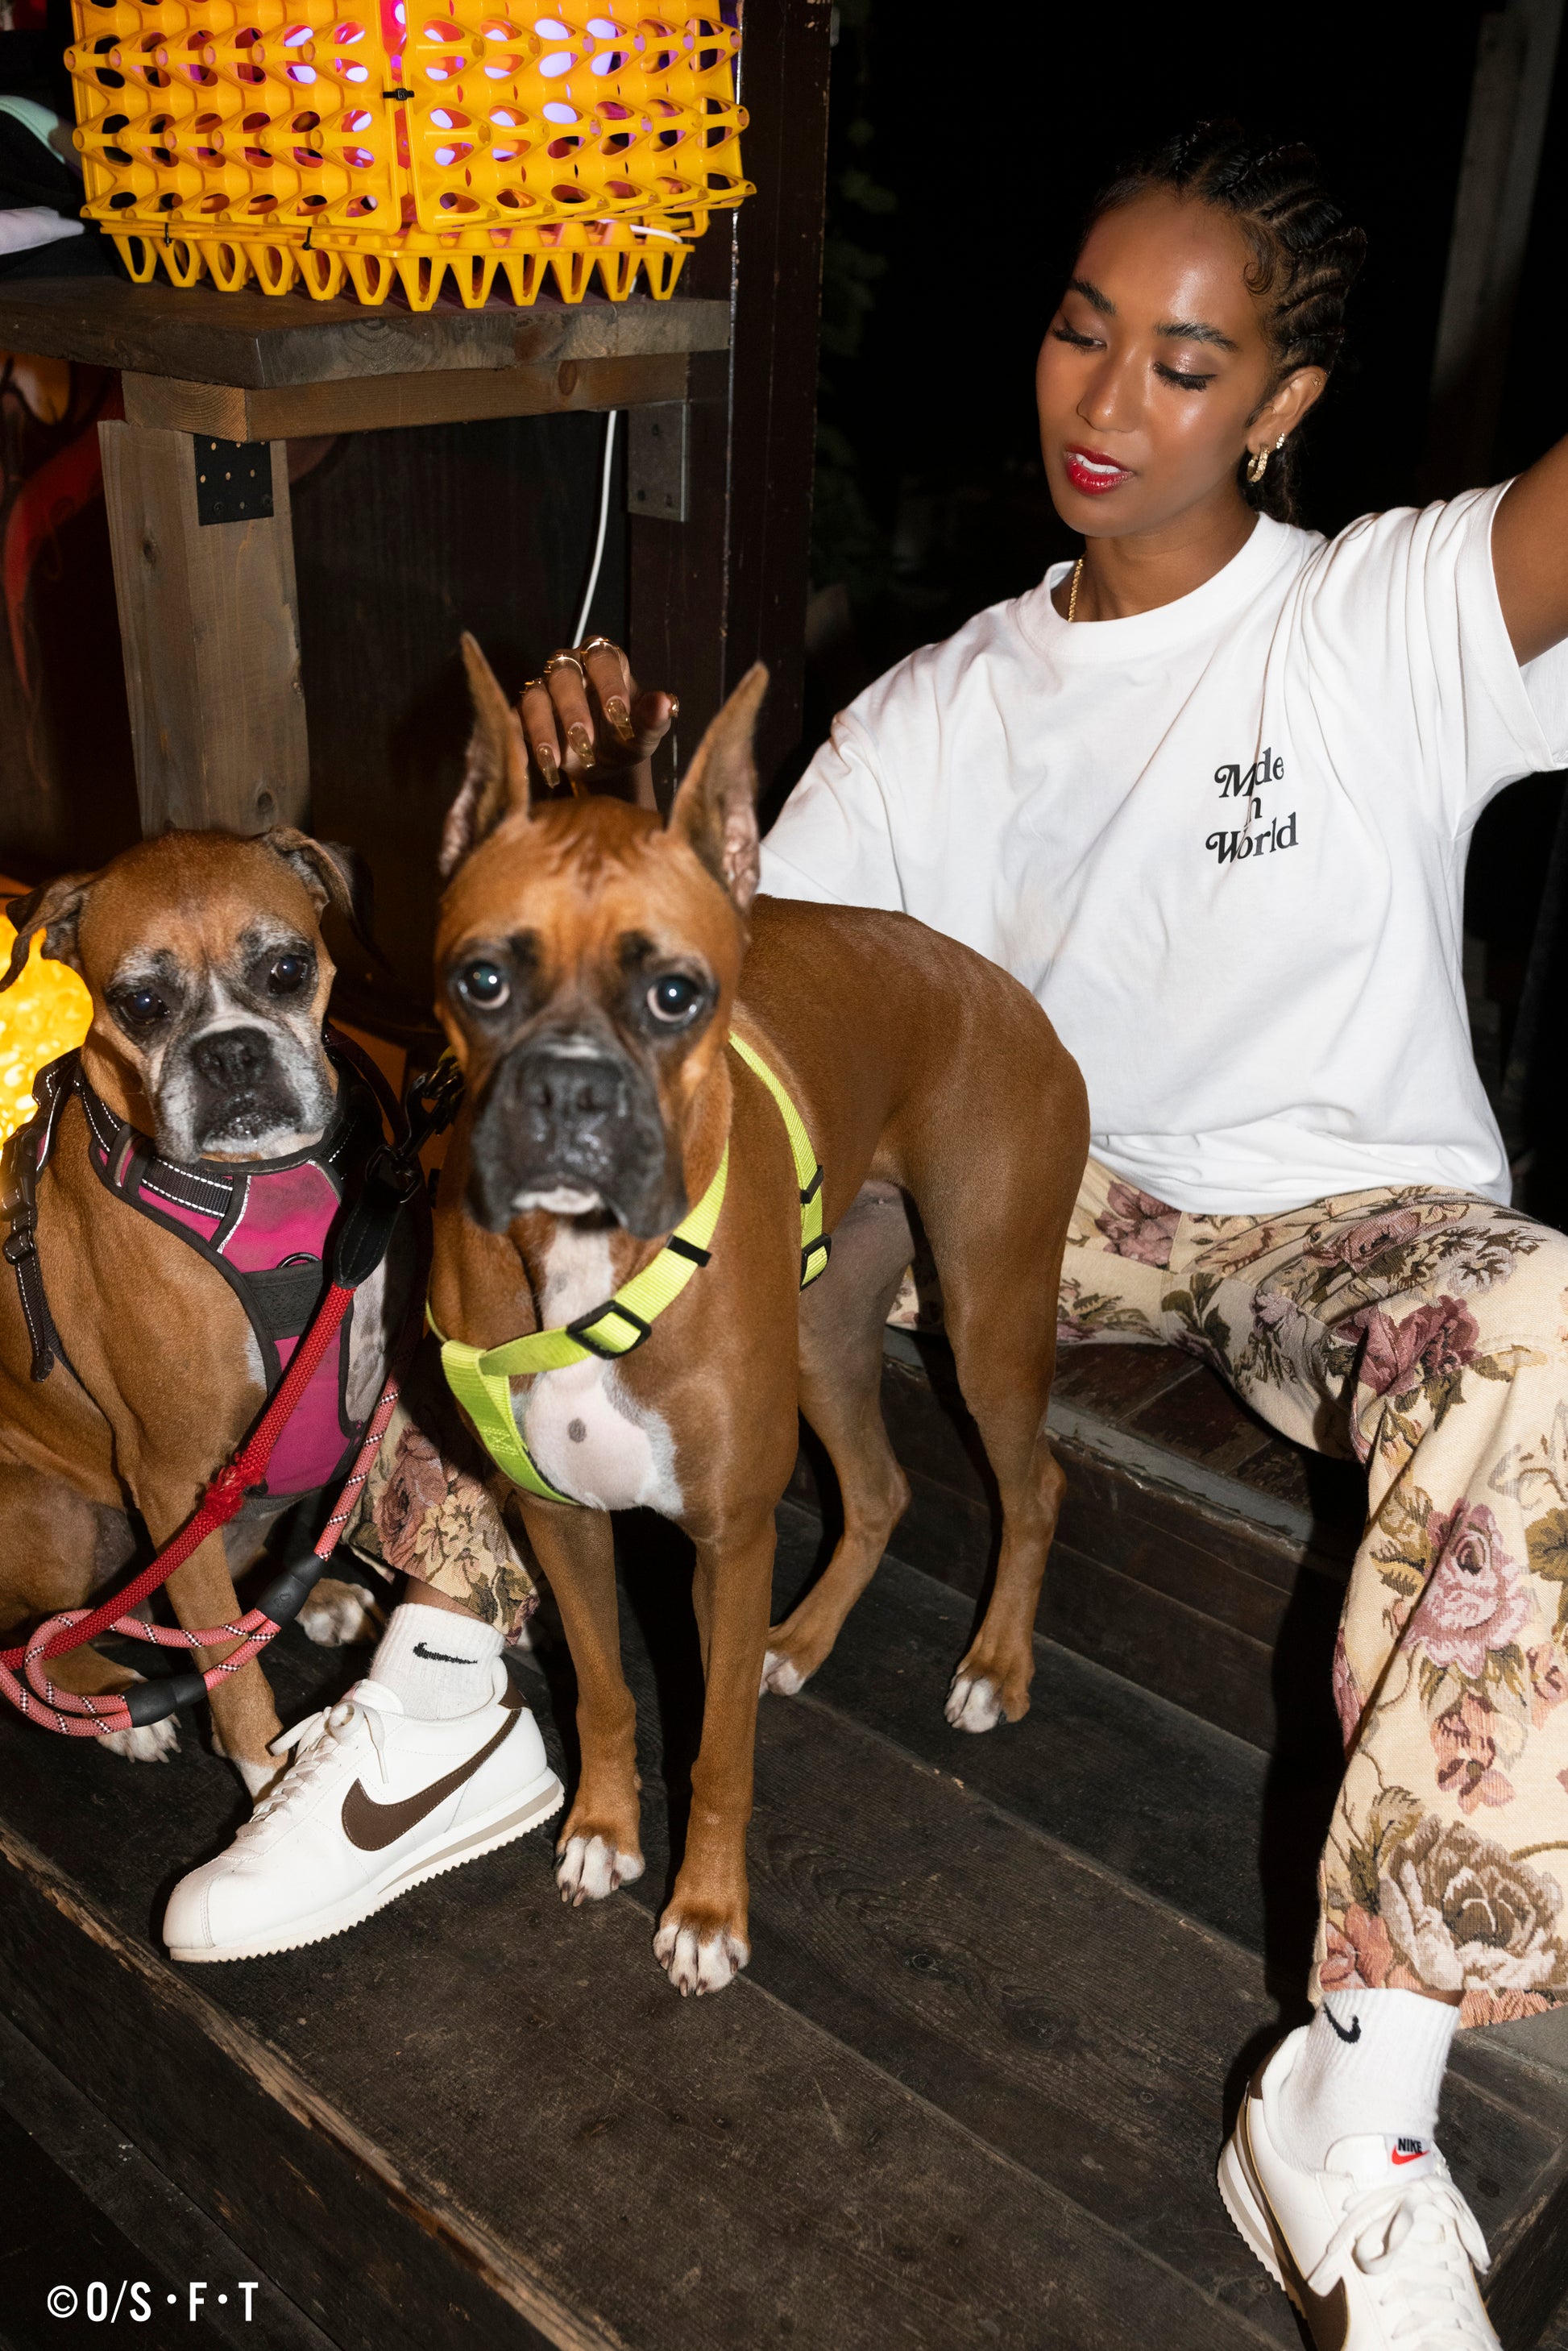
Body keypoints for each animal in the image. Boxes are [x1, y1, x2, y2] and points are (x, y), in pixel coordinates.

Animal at [0, 829, 408, 1792]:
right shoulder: (174, 1473)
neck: (263, 1183)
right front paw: (265, 1776)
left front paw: (309, 1589)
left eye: (286, 967)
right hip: (49, 1505)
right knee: (46, 1634)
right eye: (141, 1002)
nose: (231, 1054)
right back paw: (117, 1712)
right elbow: (229, 1661)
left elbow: (293, 1545)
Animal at [428, 642, 1090, 1994]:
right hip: (831, 1339)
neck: (589, 1260)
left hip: (986, 1322)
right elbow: (605, 1689)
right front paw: (603, 1830)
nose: (570, 1090)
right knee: (880, 1488)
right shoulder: (556, 1517)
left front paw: (705, 1908)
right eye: (483, 977)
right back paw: (807, 1640)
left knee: (1033, 1484)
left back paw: (993, 1664)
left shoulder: (726, 1544)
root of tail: (1007, 994)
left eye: (678, 993)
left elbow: (718, 1742)